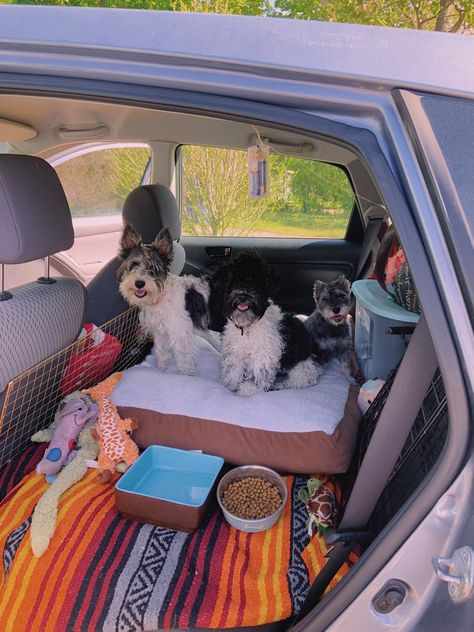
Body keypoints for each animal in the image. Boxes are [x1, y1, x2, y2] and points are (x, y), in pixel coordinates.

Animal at [118, 223, 209, 376]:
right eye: (134, 264)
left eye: (153, 268)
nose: (139, 283)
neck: (161, 295)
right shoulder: (161, 334)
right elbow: (161, 354)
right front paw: (161, 371)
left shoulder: (181, 336)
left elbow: (184, 364)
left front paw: (184, 378)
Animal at [210, 251, 322, 396]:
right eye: (232, 280)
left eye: (256, 282)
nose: (243, 295)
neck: (248, 327)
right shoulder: (236, 351)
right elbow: (234, 370)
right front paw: (231, 385)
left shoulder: (264, 354)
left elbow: (259, 375)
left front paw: (249, 390)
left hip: (303, 365)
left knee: (300, 380)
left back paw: (281, 385)